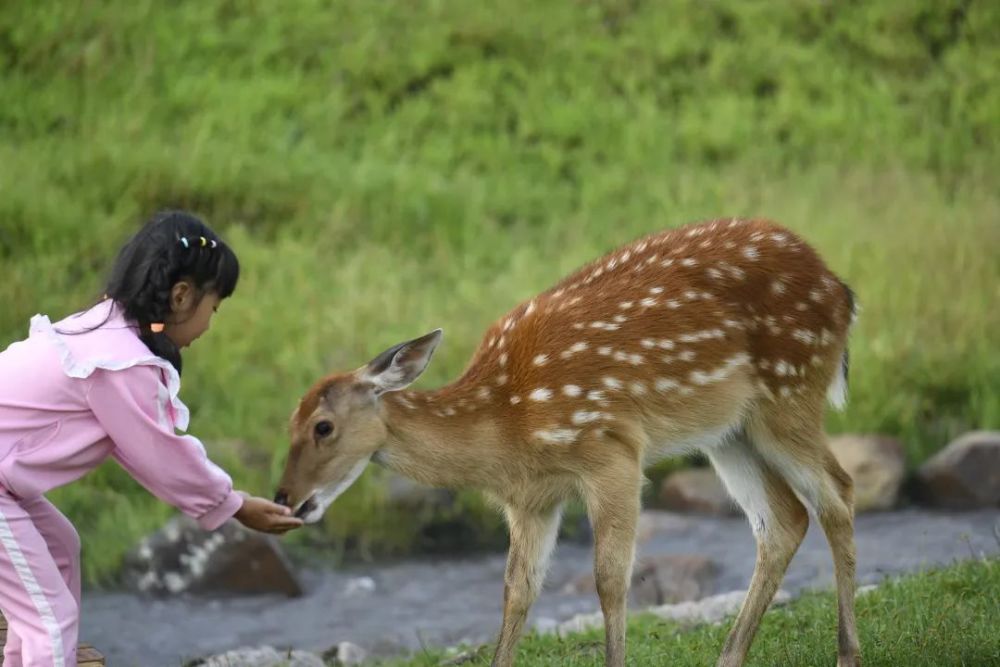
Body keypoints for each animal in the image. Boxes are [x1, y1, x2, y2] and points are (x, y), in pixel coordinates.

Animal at [272, 219, 860, 667]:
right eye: (287, 422)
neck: (506, 426)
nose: (284, 499)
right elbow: (518, 589)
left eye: (322, 426)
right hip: (728, 431)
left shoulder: (613, 450)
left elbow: (609, 578)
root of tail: (841, 289)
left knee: (837, 493)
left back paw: (846, 654)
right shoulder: (530, 499)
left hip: (790, 391)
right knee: (783, 519)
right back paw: (730, 657)